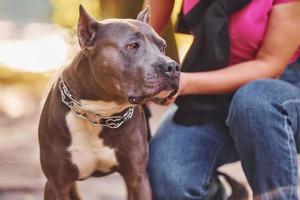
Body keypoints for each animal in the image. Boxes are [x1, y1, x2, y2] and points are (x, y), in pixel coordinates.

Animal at [39, 4, 180, 200]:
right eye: (133, 46)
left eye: (163, 47)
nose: (172, 67)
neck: (99, 112)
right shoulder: (56, 184)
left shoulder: (137, 177)